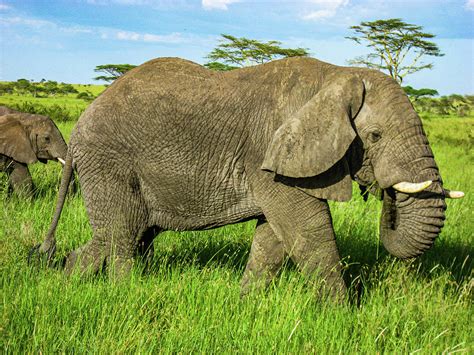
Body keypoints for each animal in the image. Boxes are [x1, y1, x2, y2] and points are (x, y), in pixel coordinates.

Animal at [33, 57, 462, 300]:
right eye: (374, 137)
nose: (383, 192)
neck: (337, 75)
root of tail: (78, 130)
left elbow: (273, 238)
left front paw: (246, 303)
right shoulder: (269, 154)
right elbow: (308, 231)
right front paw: (342, 315)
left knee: (123, 235)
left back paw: (70, 280)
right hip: (110, 163)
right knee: (122, 237)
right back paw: (123, 294)